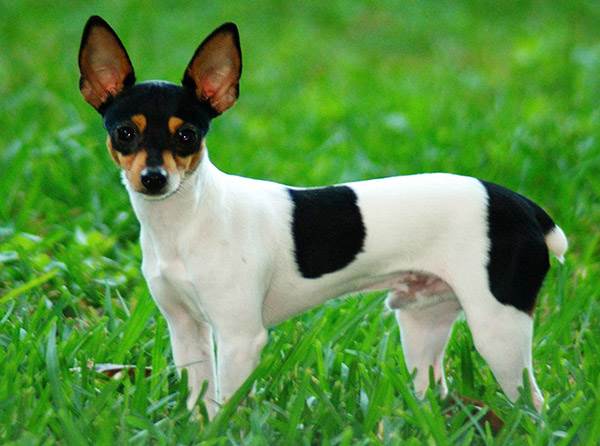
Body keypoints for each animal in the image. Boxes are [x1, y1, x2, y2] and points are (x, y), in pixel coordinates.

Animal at [78, 16, 567, 416]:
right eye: (125, 133)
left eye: (187, 136)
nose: (154, 178)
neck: (189, 220)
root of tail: (524, 206)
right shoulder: (186, 329)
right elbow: (201, 401)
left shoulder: (239, 338)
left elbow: (226, 406)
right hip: (423, 321)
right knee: (434, 389)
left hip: (498, 329)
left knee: (534, 403)